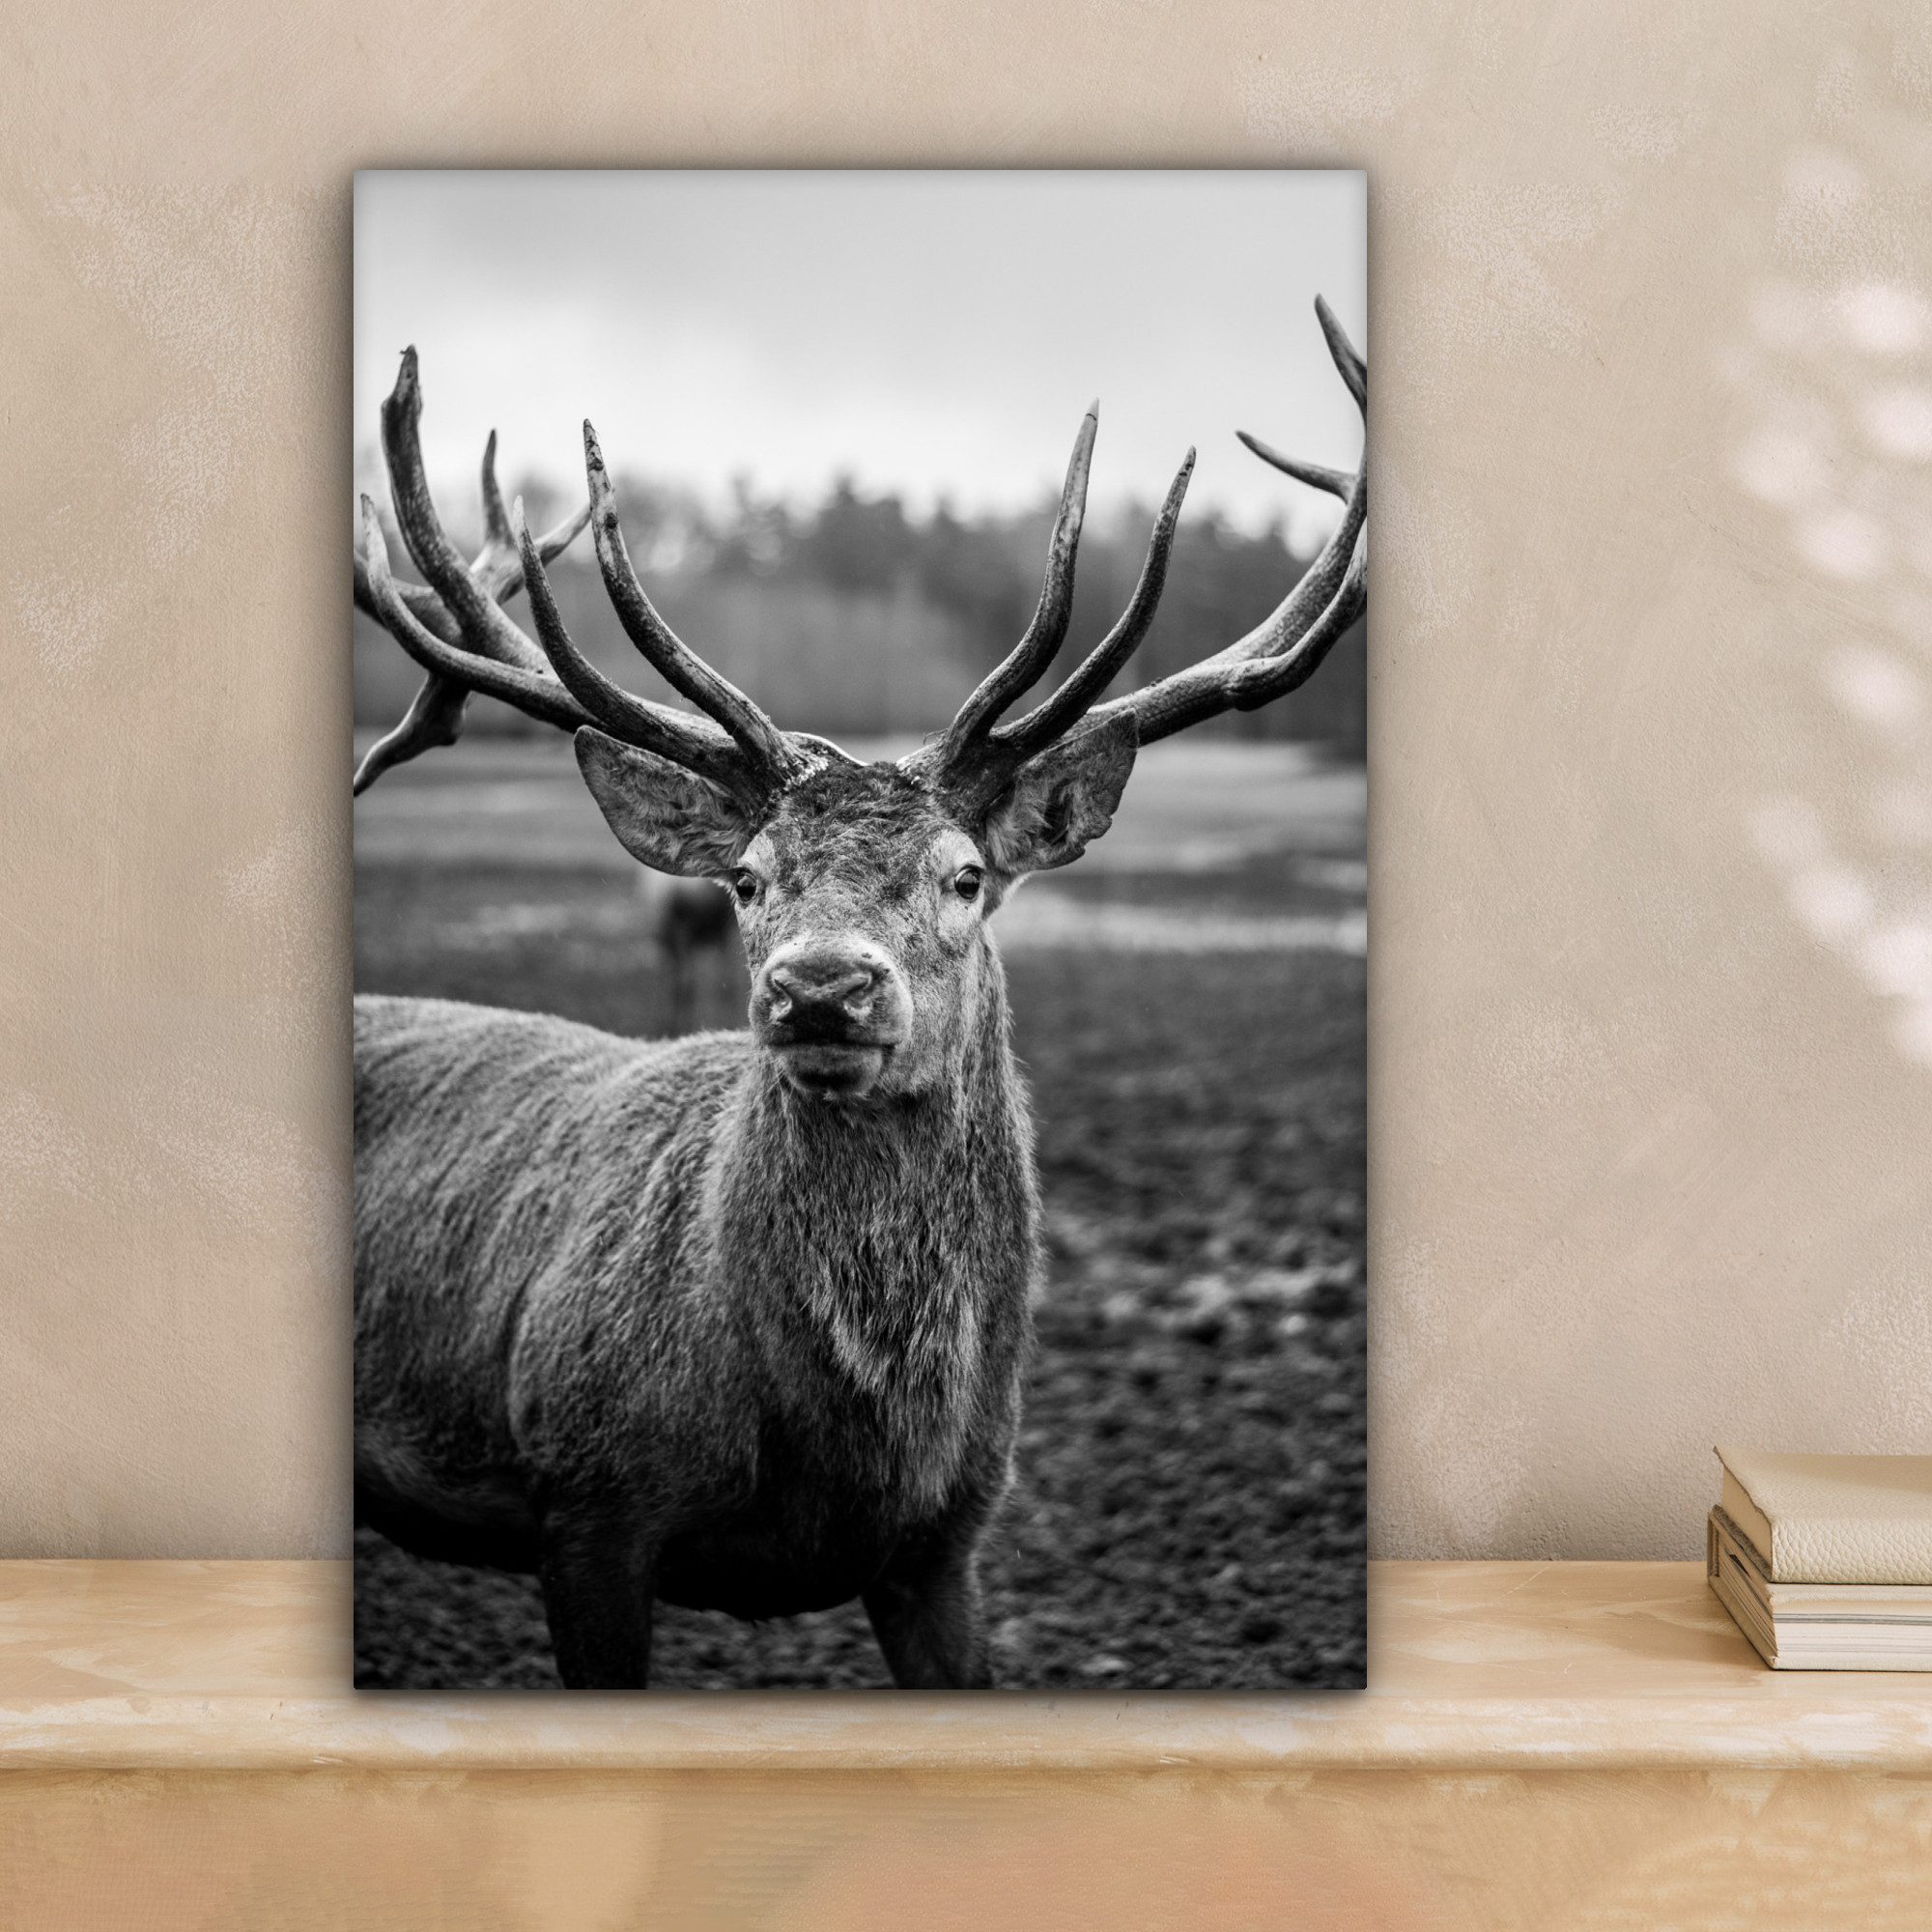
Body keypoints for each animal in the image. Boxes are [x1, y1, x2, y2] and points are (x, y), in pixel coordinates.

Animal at [349, 301, 1366, 1688]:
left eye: (965, 874)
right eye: (745, 876)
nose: (820, 986)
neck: (849, 1453)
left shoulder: (945, 1542)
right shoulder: (588, 1496)